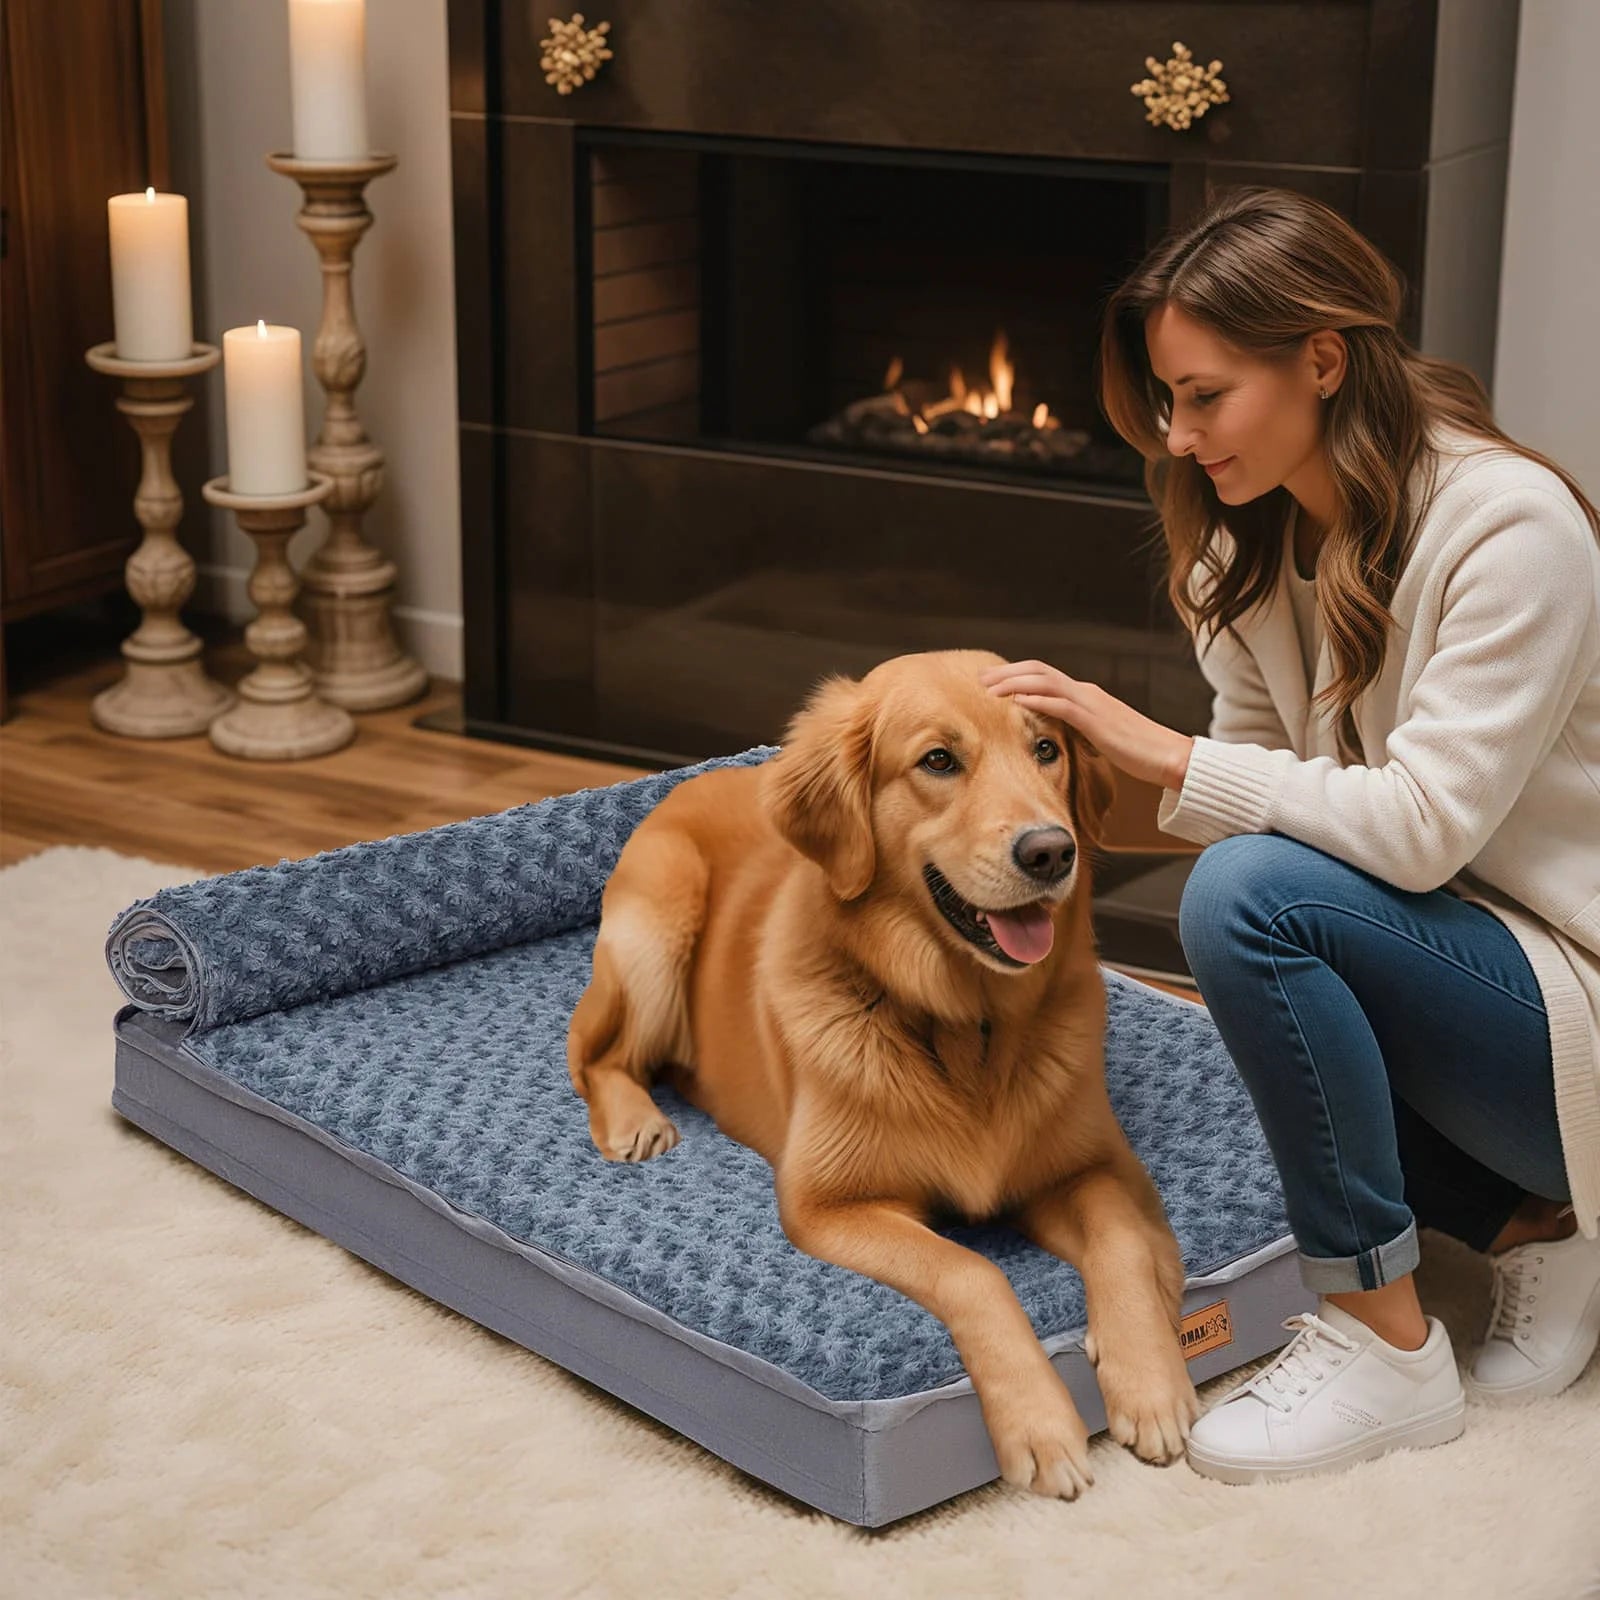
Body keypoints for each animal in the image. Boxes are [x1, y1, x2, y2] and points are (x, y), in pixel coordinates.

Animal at [569, 643, 1196, 1491]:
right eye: (938, 760)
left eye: (1047, 749)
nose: (1051, 851)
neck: (965, 1023)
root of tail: (694, 776)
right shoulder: (828, 1205)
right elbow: (972, 1273)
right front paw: (1039, 1424)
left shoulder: (1086, 1165)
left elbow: (1127, 1240)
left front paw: (1152, 1375)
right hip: (659, 922)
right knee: (591, 1051)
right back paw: (637, 1120)